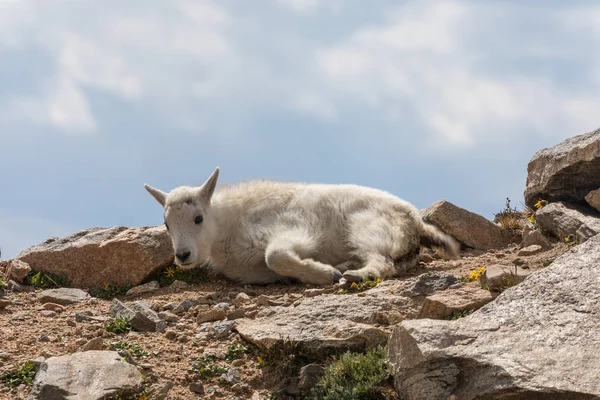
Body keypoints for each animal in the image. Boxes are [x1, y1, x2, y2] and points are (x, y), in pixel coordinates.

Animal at [144, 167, 460, 286]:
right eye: (167, 225)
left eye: (198, 218)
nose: (182, 255)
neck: (226, 224)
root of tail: (415, 220)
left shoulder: (293, 231)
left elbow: (276, 256)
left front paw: (325, 274)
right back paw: (347, 266)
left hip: (371, 229)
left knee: (382, 263)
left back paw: (353, 274)